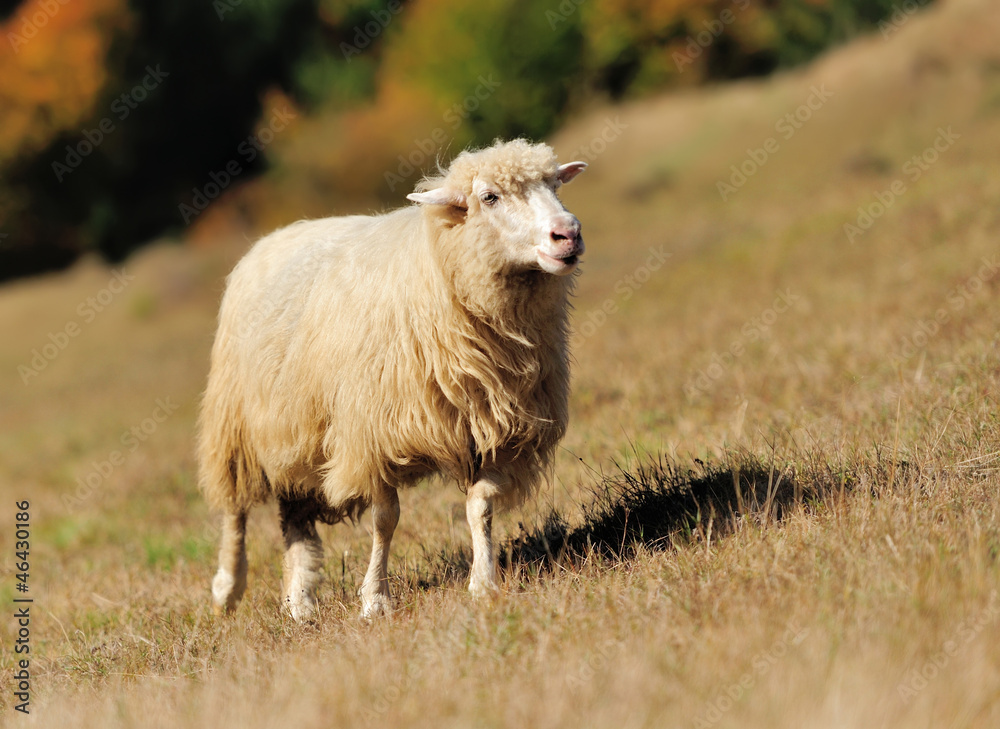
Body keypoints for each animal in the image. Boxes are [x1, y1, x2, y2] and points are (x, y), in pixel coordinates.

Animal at [197, 138, 584, 620]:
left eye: (555, 184)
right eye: (489, 197)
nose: (568, 233)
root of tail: (278, 234)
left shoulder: (498, 431)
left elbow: (481, 506)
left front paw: (484, 584)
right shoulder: (371, 435)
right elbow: (385, 520)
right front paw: (375, 600)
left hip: (297, 429)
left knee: (295, 518)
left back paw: (300, 602)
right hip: (234, 424)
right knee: (235, 513)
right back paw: (227, 590)